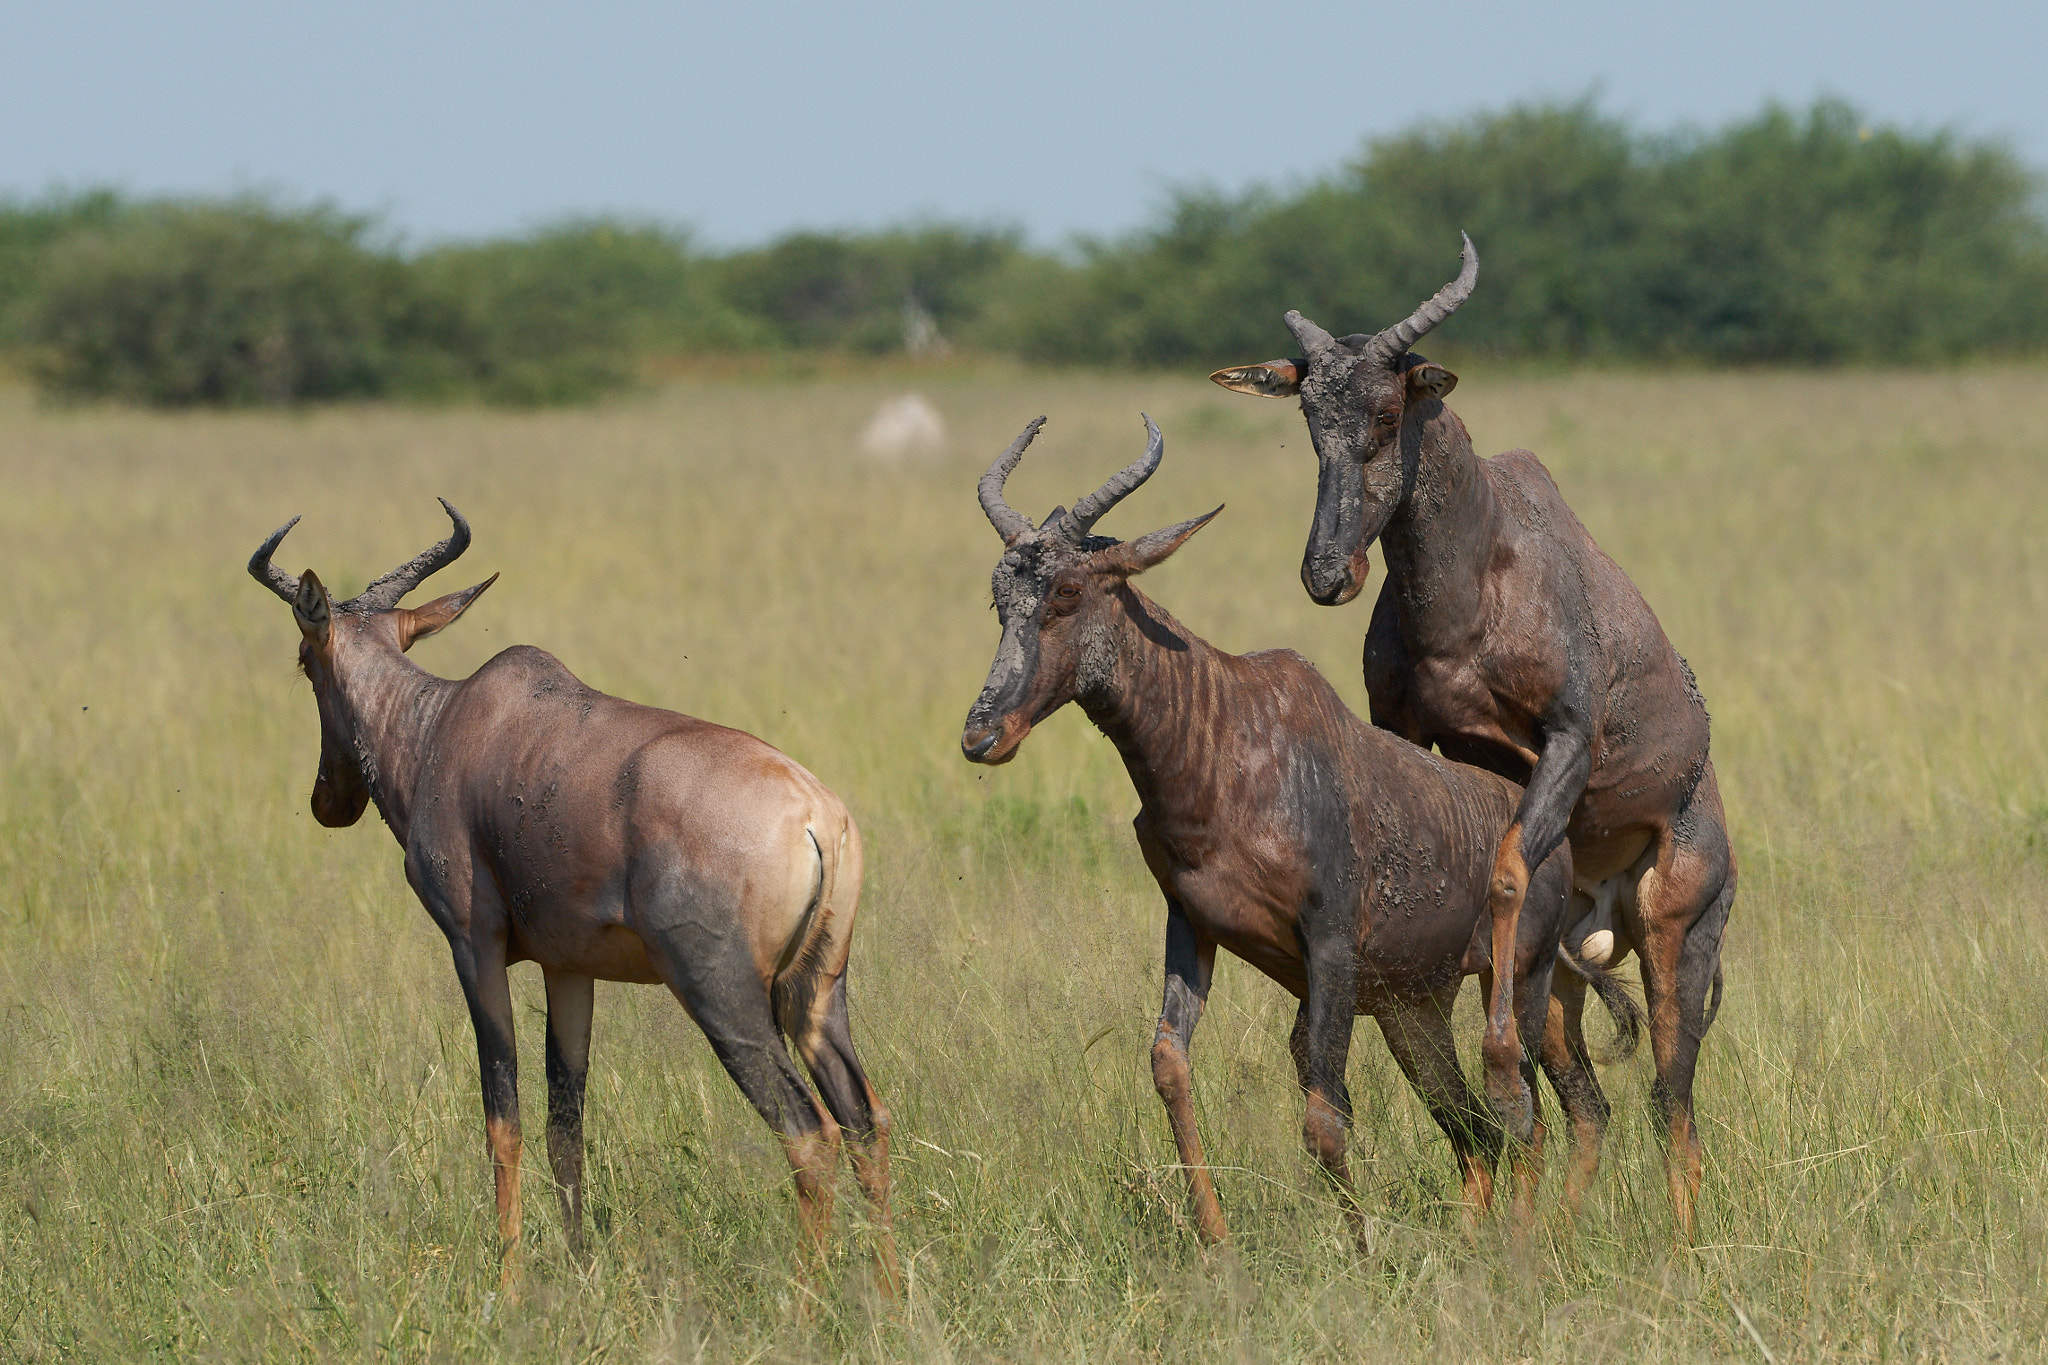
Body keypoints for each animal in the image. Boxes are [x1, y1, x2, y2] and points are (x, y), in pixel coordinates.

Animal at [245, 501, 897, 1285]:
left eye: (303, 659)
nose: (328, 801)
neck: (445, 723)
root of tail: (816, 816)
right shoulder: (569, 967)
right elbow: (567, 1124)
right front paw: (581, 1267)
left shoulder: (473, 945)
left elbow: (504, 1118)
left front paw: (509, 1282)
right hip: (819, 991)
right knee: (865, 1122)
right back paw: (893, 1293)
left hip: (724, 996)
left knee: (810, 1134)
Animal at [962, 419, 1646, 1252]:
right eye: (1000, 595)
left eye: (1067, 590)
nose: (983, 734)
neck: (1228, 730)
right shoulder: (1191, 924)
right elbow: (1169, 1065)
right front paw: (1218, 1242)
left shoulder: (1329, 941)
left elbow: (1324, 1117)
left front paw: (1365, 1250)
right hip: (1414, 1011)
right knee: (1476, 1131)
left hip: (1522, 977)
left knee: (1538, 1118)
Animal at [1220, 235, 1736, 1236]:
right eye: (1308, 416)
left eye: (1391, 412)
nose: (1328, 573)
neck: (1483, 563)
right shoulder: (1407, 735)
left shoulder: (1567, 741)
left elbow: (1502, 872)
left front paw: (1494, 1073)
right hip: (1564, 970)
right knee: (1589, 1103)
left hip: (1678, 932)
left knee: (1673, 1104)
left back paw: (1683, 1241)